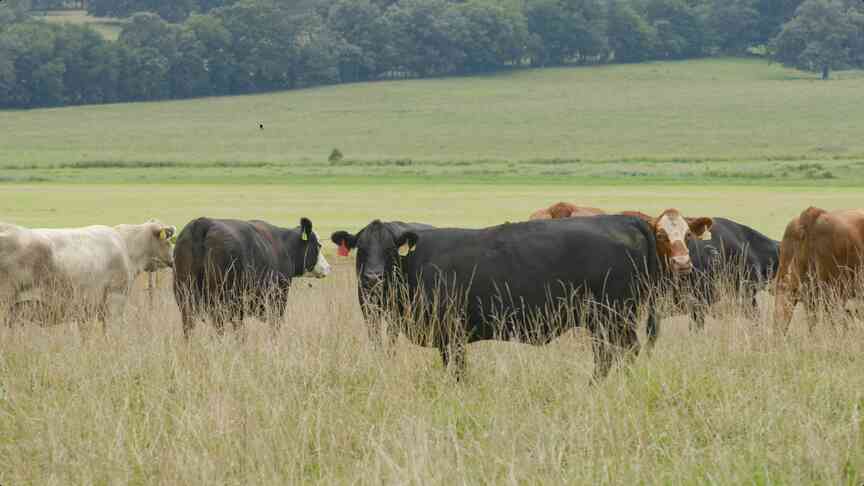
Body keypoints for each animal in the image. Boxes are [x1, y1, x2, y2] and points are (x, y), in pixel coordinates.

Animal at [172, 217, 330, 338]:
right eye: (319, 245)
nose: (329, 268)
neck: (285, 247)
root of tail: (203, 223)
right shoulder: (278, 299)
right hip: (220, 302)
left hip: (185, 298)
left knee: (189, 328)